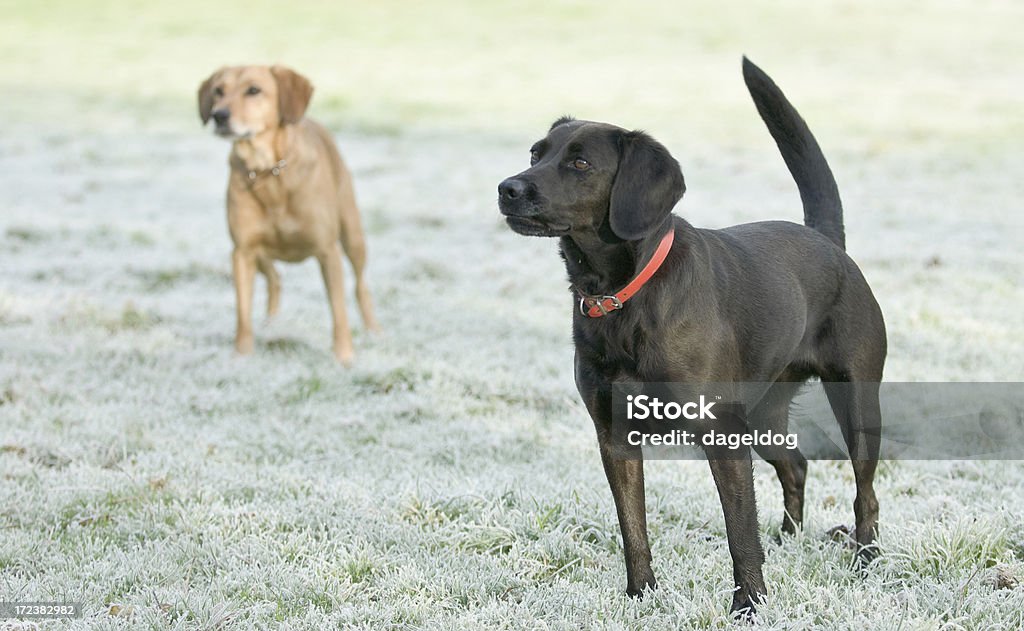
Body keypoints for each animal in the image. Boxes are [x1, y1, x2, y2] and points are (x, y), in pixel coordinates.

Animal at [196, 66, 380, 362]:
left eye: (254, 90)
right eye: (218, 91)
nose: (219, 115)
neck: (269, 172)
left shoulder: (328, 251)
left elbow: (339, 310)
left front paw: (344, 357)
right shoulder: (242, 251)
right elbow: (242, 312)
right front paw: (242, 356)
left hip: (353, 236)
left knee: (361, 287)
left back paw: (374, 331)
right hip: (258, 253)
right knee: (275, 280)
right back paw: (271, 324)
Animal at [495, 56, 880, 614]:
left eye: (581, 164)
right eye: (535, 153)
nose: (507, 188)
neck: (623, 295)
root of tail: (826, 240)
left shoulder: (722, 434)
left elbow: (739, 532)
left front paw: (750, 605)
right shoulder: (614, 437)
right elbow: (633, 529)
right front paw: (641, 596)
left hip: (855, 403)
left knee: (864, 491)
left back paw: (866, 559)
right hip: (765, 412)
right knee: (796, 466)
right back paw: (788, 541)